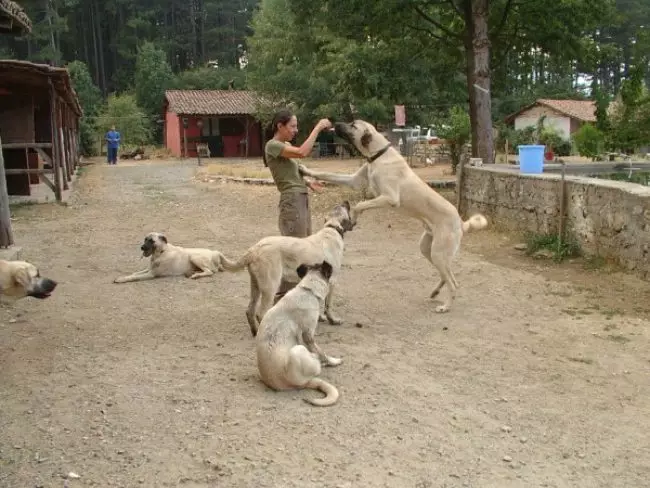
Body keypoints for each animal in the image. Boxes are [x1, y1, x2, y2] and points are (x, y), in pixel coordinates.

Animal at [219, 201, 354, 336]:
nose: (346, 201)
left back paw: (255, 332)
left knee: (249, 311)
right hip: (270, 287)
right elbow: (328, 305)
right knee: (260, 314)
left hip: (255, 286)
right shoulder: (331, 281)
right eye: (345, 208)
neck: (332, 227)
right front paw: (333, 320)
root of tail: (254, 249)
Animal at [256, 262, 342, 406]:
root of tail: (300, 384)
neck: (308, 291)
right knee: (317, 365)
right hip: (297, 350)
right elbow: (323, 353)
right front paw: (332, 361)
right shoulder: (308, 335)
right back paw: (317, 359)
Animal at [298, 120, 486, 314]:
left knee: (454, 283)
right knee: (447, 275)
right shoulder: (354, 181)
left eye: (353, 125)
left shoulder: (390, 198)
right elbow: (326, 175)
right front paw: (305, 170)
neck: (377, 156)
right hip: (428, 249)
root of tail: (461, 222)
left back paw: (445, 306)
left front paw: (354, 218)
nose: (335, 123)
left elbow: (360, 204)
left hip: (439, 252)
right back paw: (435, 291)